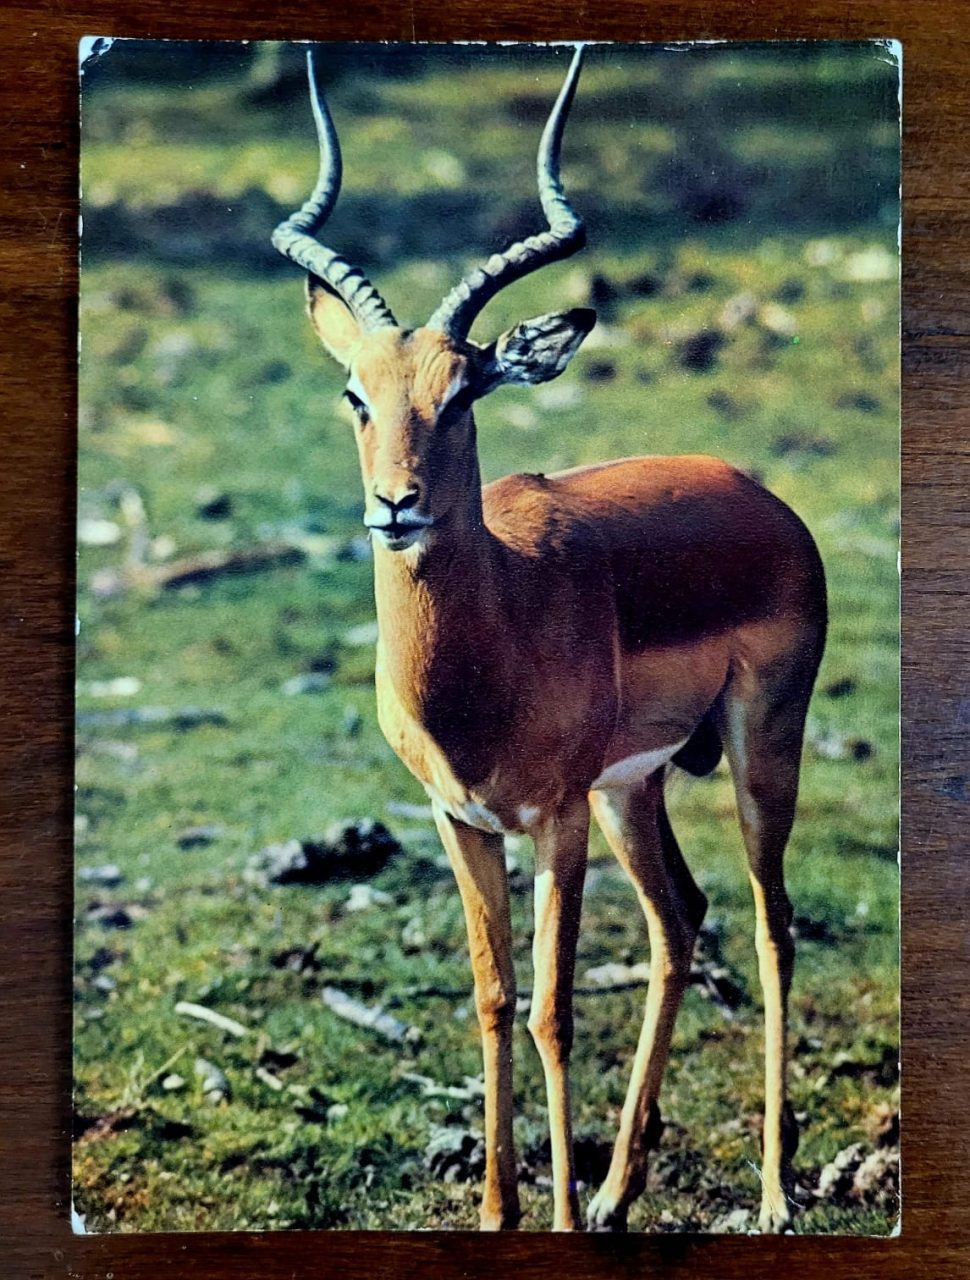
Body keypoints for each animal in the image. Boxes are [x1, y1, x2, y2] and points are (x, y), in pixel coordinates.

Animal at [272, 44, 827, 1233]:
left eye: (464, 388)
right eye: (355, 393)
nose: (396, 505)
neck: (491, 647)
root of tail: (755, 491)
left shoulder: (554, 820)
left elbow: (553, 1010)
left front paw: (557, 1218)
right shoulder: (462, 819)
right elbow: (491, 999)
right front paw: (501, 1211)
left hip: (757, 750)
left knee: (771, 925)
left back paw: (769, 1194)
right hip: (635, 786)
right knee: (680, 921)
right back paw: (620, 1187)